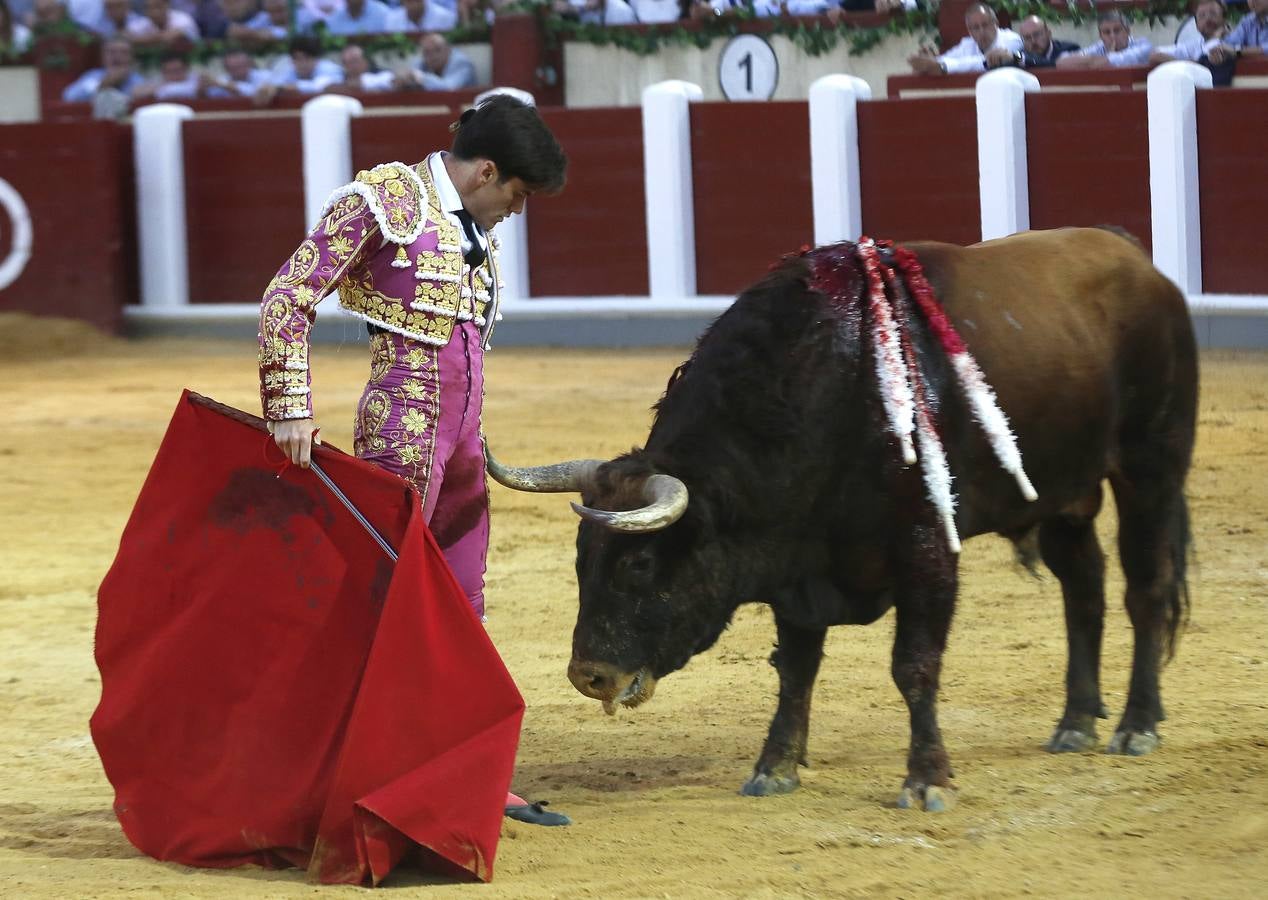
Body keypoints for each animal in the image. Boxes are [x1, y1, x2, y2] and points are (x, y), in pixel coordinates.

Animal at [484, 229, 1196, 816]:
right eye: (581, 558)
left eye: (638, 562)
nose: (588, 675)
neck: (827, 389)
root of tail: (1143, 265)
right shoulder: (798, 566)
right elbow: (796, 668)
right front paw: (774, 768)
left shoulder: (927, 551)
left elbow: (914, 666)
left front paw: (927, 780)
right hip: (1064, 498)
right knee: (1084, 591)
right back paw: (1075, 723)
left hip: (1150, 467)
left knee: (1145, 589)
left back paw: (1136, 726)